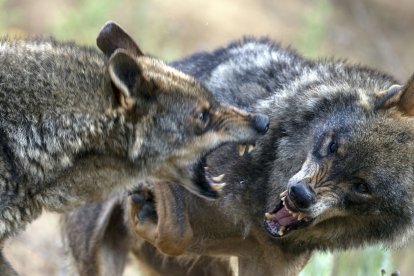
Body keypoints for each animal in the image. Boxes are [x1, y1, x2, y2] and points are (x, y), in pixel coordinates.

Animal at [61, 37, 414, 276]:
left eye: (361, 187)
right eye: (332, 146)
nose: (300, 195)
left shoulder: (262, 264)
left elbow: (178, 234)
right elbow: (177, 229)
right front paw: (147, 213)